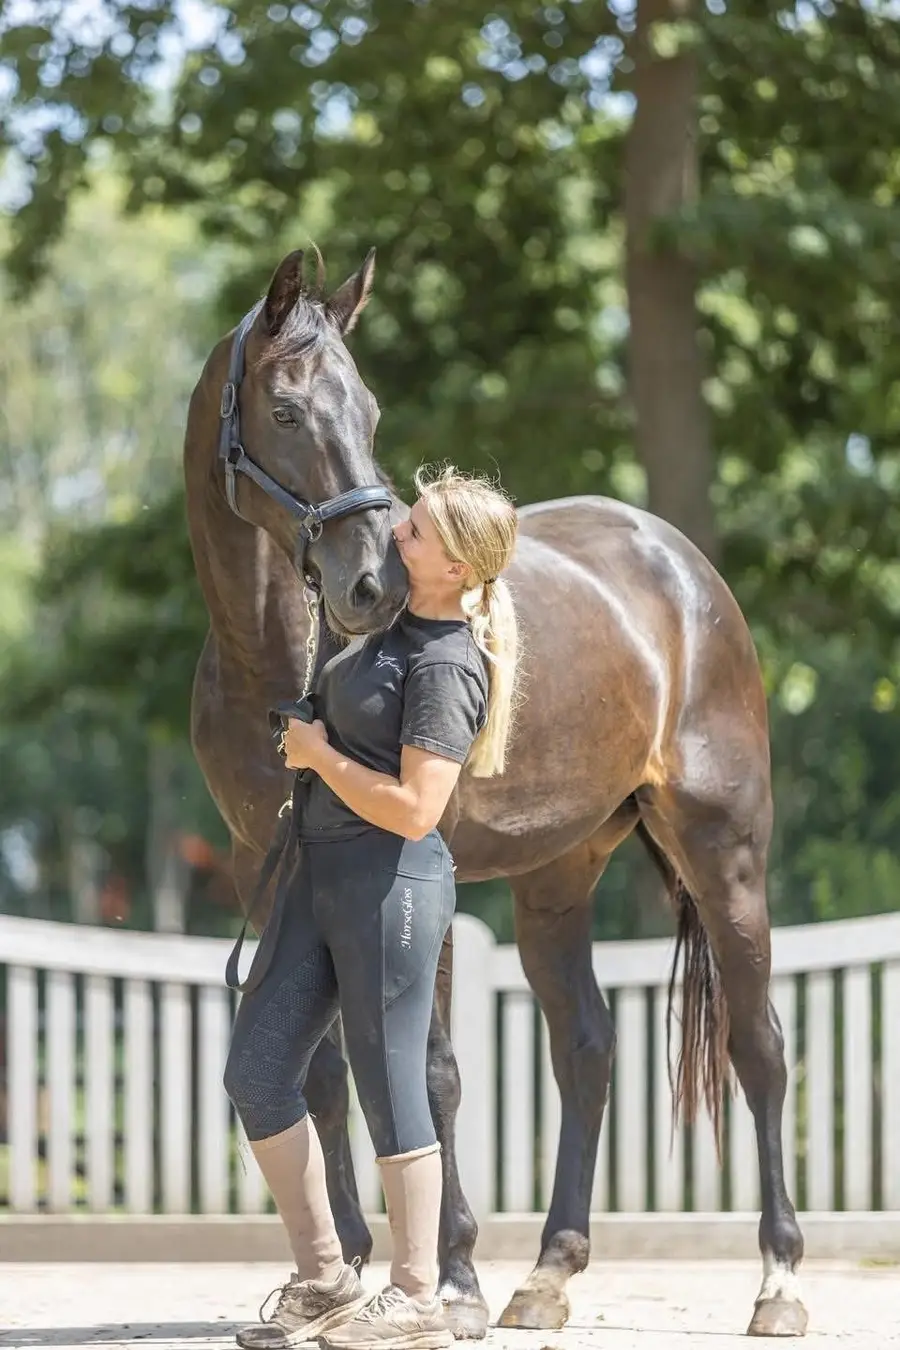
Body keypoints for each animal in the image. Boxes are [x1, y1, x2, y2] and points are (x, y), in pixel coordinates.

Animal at [184, 248, 808, 1340]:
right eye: (287, 411)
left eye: (370, 411)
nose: (372, 585)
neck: (277, 660)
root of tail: (680, 565)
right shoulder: (271, 870)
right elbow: (325, 1073)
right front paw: (345, 1270)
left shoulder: (407, 872)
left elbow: (426, 1074)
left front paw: (452, 1275)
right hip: (557, 875)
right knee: (588, 1047)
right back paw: (550, 1274)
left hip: (724, 850)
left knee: (758, 1043)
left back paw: (777, 1282)